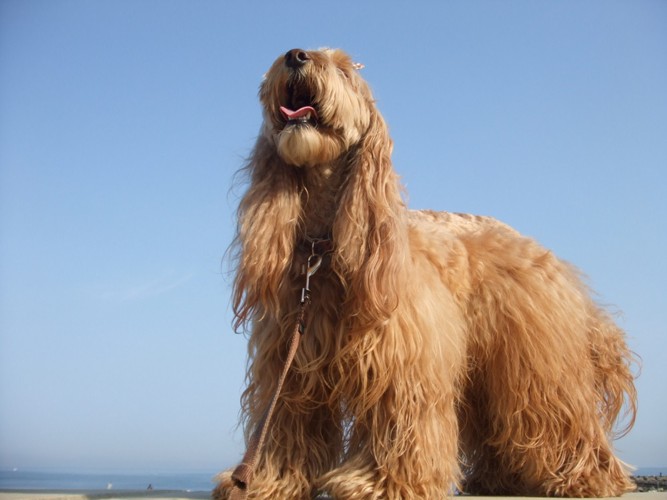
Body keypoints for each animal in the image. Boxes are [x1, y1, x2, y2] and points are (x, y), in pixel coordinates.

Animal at [217, 47, 640, 500]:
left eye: (346, 71)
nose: (296, 55)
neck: (325, 243)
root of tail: (540, 250)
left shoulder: (403, 362)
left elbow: (400, 417)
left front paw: (380, 483)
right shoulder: (291, 362)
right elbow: (285, 421)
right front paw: (267, 479)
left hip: (536, 361)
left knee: (558, 413)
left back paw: (588, 475)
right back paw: (500, 477)